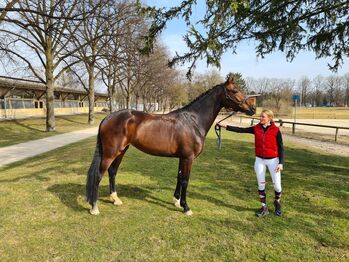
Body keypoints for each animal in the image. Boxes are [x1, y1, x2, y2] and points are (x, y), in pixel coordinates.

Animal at [86, 75, 256, 215]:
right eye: (234, 90)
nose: (252, 108)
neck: (194, 121)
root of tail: (108, 118)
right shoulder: (188, 158)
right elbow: (185, 180)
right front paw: (186, 207)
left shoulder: (182, 157)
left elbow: (179, 177)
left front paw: (176, 201)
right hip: (110, 153)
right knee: (99, 174)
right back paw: (94, 207)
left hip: (121, 150)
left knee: (112, 172)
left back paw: (115, 199)